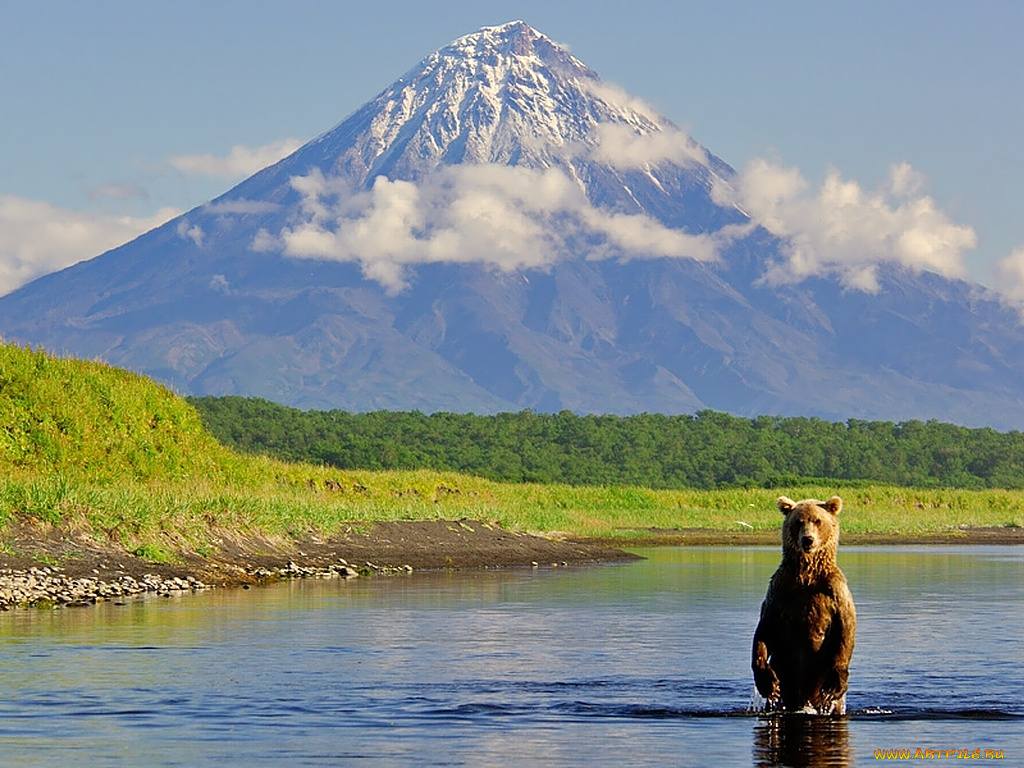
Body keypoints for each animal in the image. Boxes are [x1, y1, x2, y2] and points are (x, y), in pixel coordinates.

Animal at [753, 499, 856, 716]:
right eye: (799, 522)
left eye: (817, 520)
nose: (807, 540)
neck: (807, 574)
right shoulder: (780, 589)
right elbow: (765, 629)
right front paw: (768, 682)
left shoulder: (834, 590)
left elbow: (846, 628)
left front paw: (834, 685)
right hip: (784, 674)